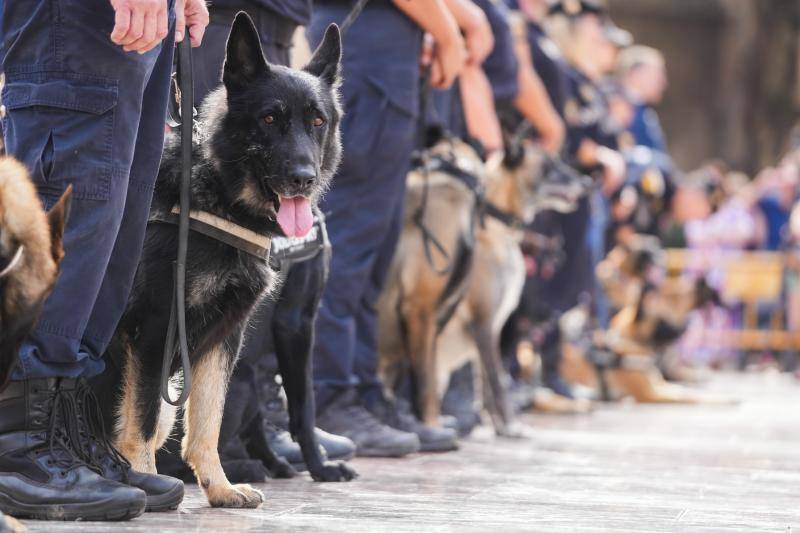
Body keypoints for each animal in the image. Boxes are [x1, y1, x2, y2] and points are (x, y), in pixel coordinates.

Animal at [95, 13, 342, 508]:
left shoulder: (223, 338)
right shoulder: (156, 329)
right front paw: (148, 481)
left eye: (317, 121)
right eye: (269, 118)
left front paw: (220, 487)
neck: (216, 193)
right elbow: (142, 420)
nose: (303, 179)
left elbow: (207, 422)